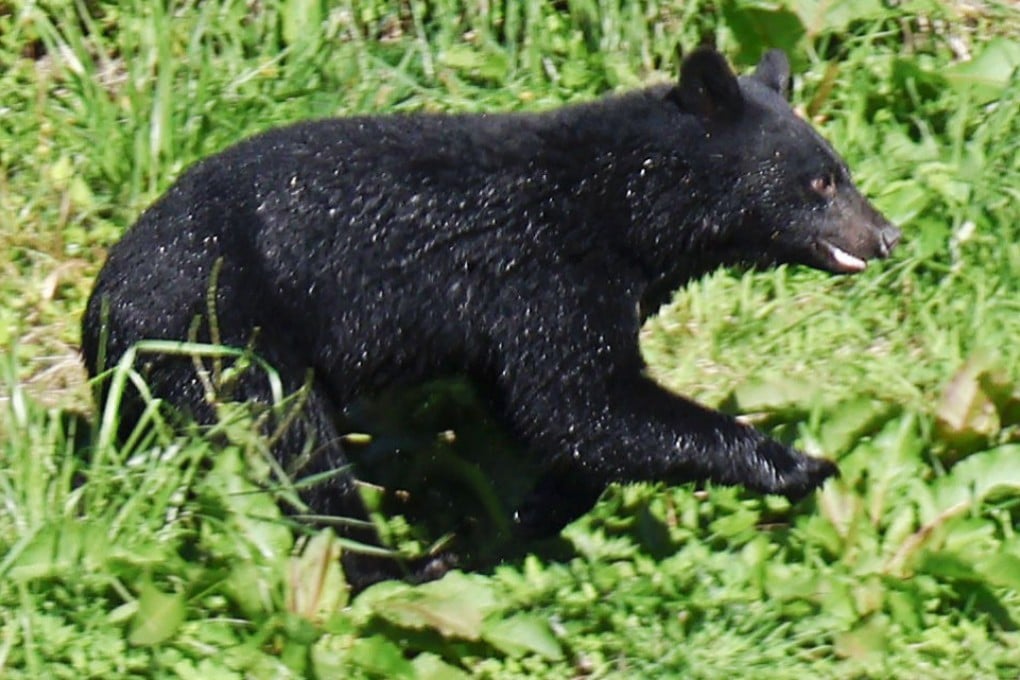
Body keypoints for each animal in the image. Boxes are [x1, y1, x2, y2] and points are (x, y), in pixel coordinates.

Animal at [81, 47, 900, 587]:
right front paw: (799, 463)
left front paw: (517, 520)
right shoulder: (546, 274)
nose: (887, 234)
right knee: (297, 448)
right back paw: (395, 568)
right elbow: (581, 403)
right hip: (219, 334)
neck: (622, 205)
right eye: (821, 181)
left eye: (842, 170)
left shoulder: (507, 322)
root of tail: (100, 314)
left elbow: (545, 417)